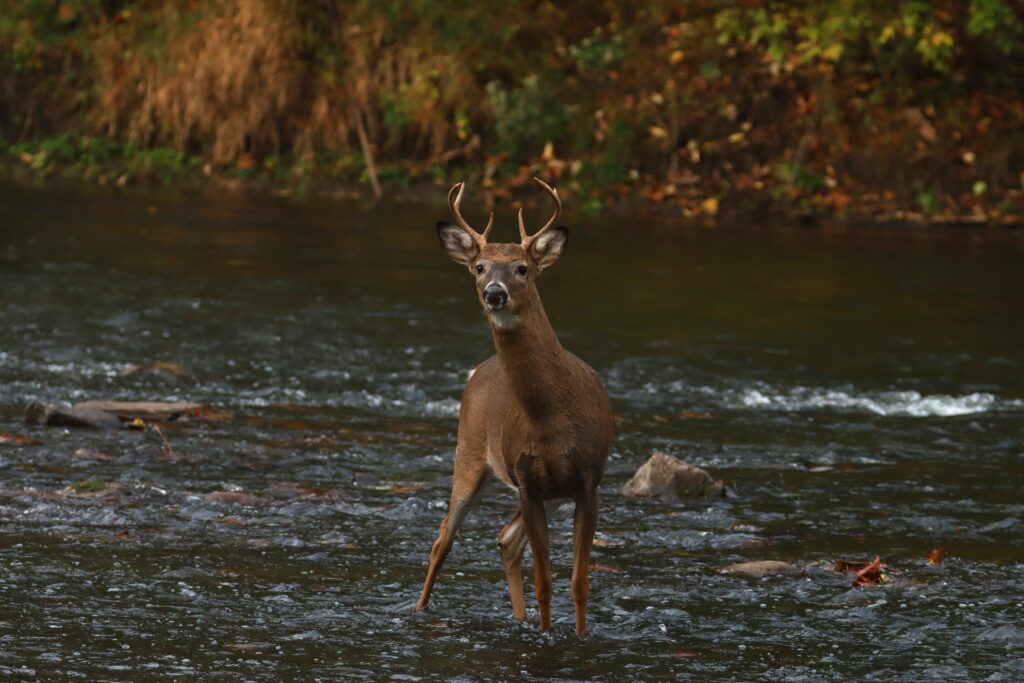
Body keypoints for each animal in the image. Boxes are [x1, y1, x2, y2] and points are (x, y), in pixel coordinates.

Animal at [414, 178, 614, 636]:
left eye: (522, 268)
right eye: (479, 267)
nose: (494, 293)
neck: (551, 419)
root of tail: (480, 369)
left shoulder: (588, 482)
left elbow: (579, 583)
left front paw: (579, 635)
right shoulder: (527, 482)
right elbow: (546, 582)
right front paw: (546, 635)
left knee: (505, 538)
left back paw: (517, 618)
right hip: (469, 452)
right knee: (443, 537)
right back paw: (417, 610)